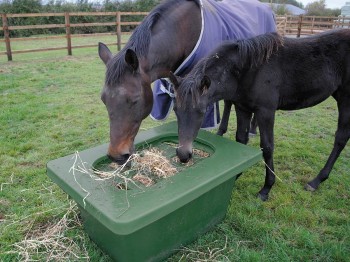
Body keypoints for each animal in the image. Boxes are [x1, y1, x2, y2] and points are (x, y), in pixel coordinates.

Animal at [172, 29, 350, 200]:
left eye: (201, 111)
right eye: (175, 110)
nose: (183, 154)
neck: (248, 69)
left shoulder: (265, 111)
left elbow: (267, 147)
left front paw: (266, 188)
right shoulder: (242, 108)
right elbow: (241, 139)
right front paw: (237, 174)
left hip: (345, 99)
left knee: (340, 138)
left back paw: (316, 181)